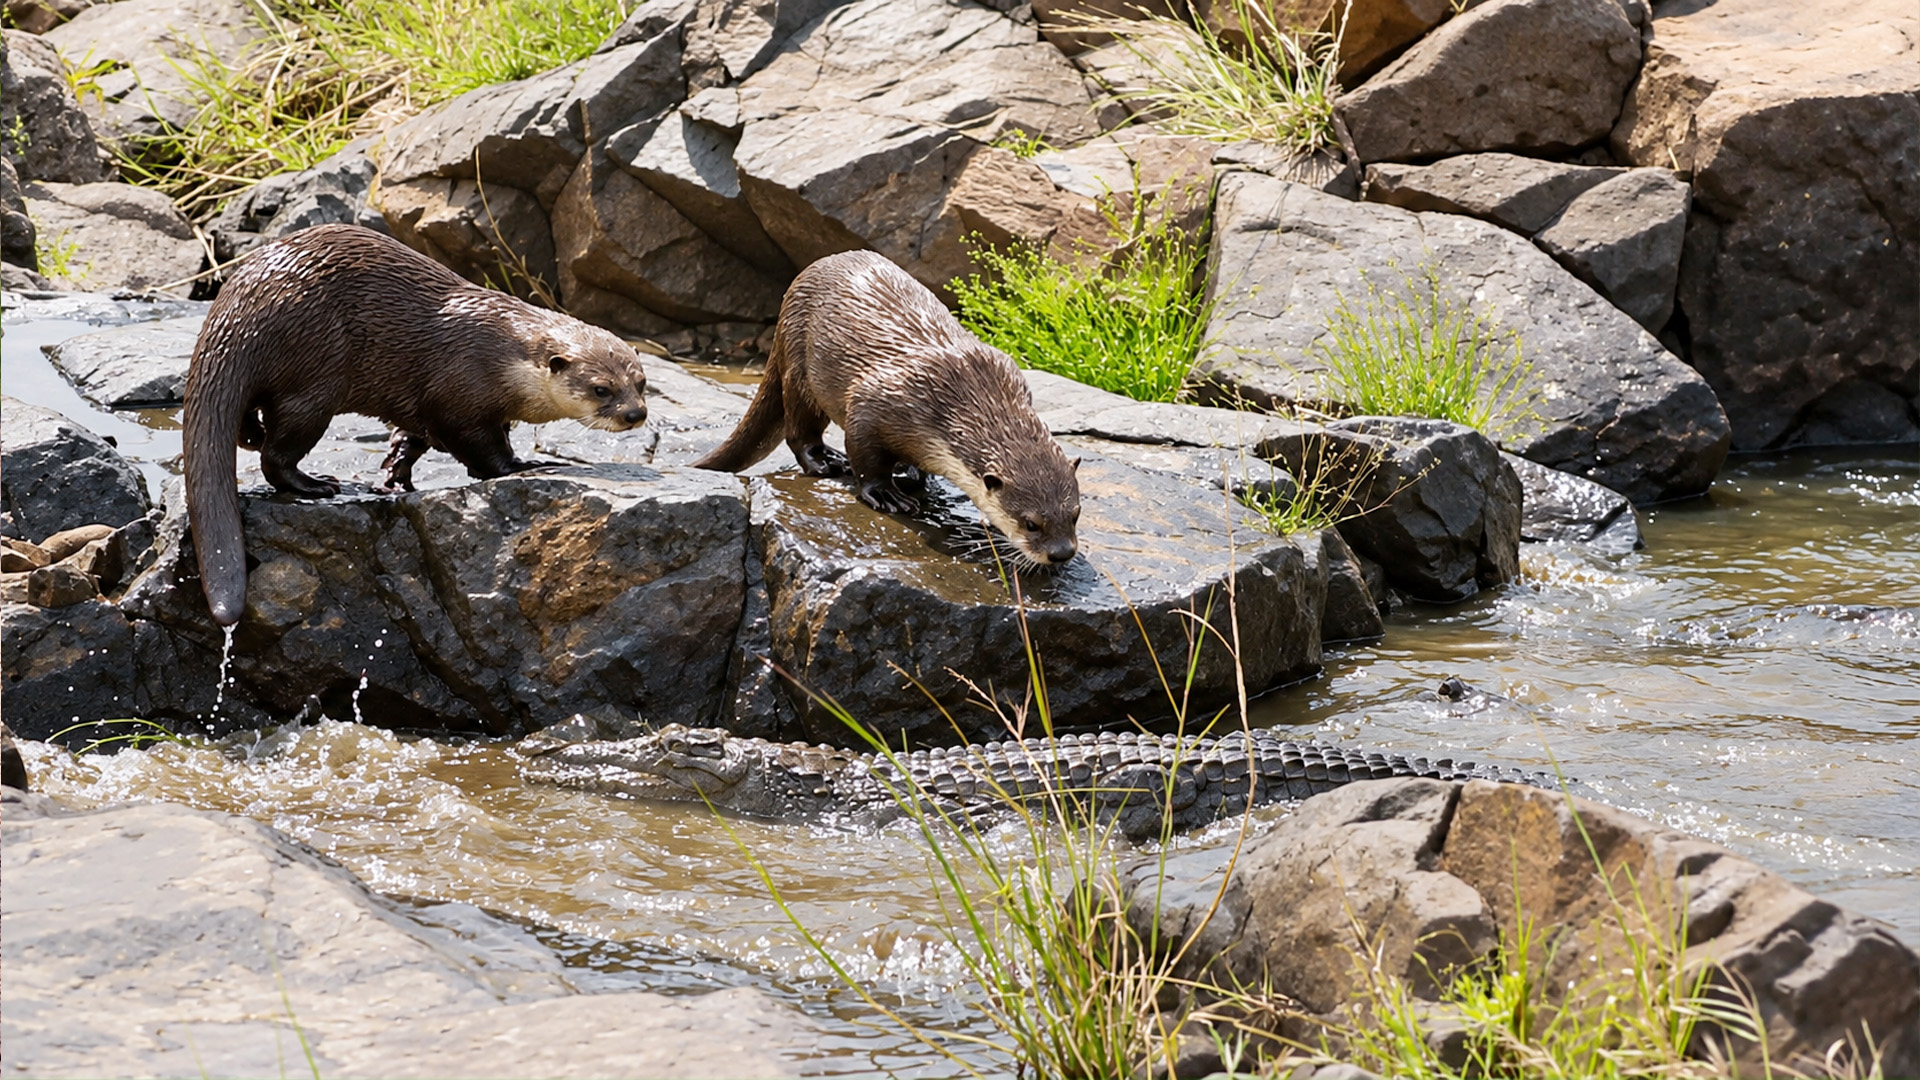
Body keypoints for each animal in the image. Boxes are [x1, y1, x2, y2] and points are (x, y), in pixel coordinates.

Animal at [183, 224, 649, 627]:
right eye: (602, 389)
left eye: (641, 382)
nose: (636, 414)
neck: (504, 356)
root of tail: (237, 307)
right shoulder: (459, 390)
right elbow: (478, 448)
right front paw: (525, 466)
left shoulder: (431, 410)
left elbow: (413, 437)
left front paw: (395, 477)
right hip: (316, 368)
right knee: (277, 453)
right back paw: (315, 484)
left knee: (252, 426)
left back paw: (258, 436)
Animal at [692, 250, 1081, 568]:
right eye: (1031, 523)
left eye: (1075, 514)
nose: (1062, 553)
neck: (964, 390)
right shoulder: (876, 403)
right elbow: (865, 454)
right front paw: (884, 493)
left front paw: (912, 477)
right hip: (800, 369)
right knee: (800, 430)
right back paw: (825, 462)